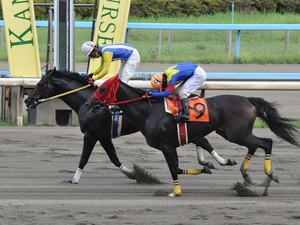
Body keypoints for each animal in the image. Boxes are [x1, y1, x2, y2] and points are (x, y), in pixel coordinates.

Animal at [24, 69, 233, 184]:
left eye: (41, 84)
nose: (27, 100)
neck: (86, 102)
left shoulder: (91, 134)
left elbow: (84, 157)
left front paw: (74, 179)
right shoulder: (103, 136)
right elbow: (113, 157)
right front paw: (132, 173)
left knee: (203, 140)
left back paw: (220, 161)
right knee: (200, 140)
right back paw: (207, 161)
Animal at [85, 75, 300, 197]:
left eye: (101, 88)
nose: (87, 104)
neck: (149, 112)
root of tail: (248, 100)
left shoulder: (166, 146)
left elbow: (174, 170)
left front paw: (176, 192)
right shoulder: (171, 146)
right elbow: (179, 168)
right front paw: (205, 168)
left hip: (236, 133)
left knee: (267, 142)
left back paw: (268, 176)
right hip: (232, 132)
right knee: (255, 145)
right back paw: (248, 176)